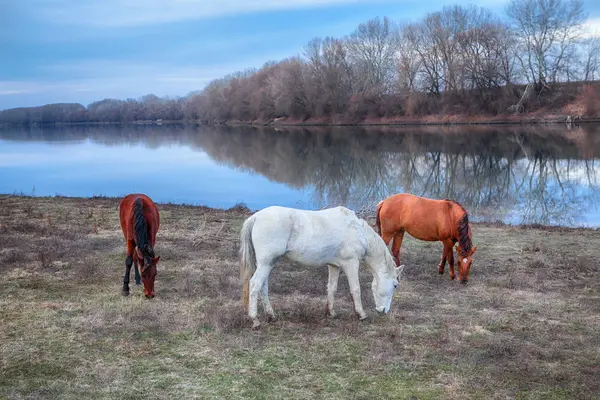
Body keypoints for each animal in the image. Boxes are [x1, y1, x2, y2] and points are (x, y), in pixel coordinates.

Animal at [239, 206, 404, 328]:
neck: (357, 231)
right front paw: (361, 314)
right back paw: (255, 320)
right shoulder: (351, 263)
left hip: (267, 264)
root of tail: (256, 217)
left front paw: (331, 312)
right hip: (266, 263)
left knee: (263, 287)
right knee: (255, 285)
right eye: (395, 285)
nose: (383, 311)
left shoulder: (334, 266)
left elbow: (332, 288)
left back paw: (271, 315)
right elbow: (355, 289)